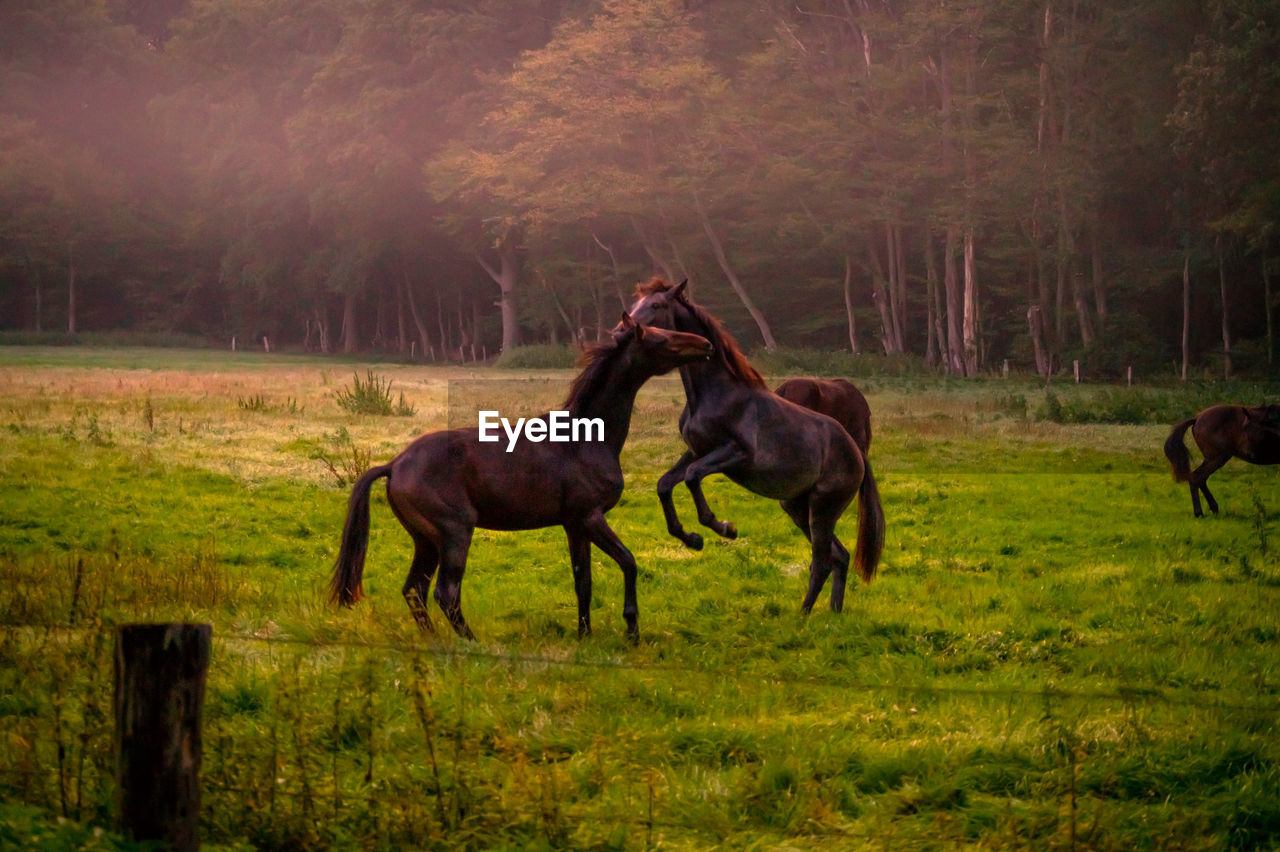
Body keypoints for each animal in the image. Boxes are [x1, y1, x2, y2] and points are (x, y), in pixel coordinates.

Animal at [325, 314, 716, 639]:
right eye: (661, 338)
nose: (706, 344)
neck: (585, 438)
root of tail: (395, 464)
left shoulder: (574, 525)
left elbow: (583, 581)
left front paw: (584, 636)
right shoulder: (591, 517)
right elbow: (629, 563)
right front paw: (632, 630)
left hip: (426, 540)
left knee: (414, 590)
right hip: (453, 533)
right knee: (445, 593)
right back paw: (471, 642)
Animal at [624, 277, 885, 611]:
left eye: (656, 305)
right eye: (637, 304)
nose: (624, 329)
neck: (714, 392)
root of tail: (857, 455)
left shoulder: (737, 453)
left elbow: (693, 477)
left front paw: (723, 527)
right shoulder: (696, 451)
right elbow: (664, 484)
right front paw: (690, 537)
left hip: (823, 509)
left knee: (823, 561)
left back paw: (804, 615)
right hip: (797, 507)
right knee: (839, 557)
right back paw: (830, 614)